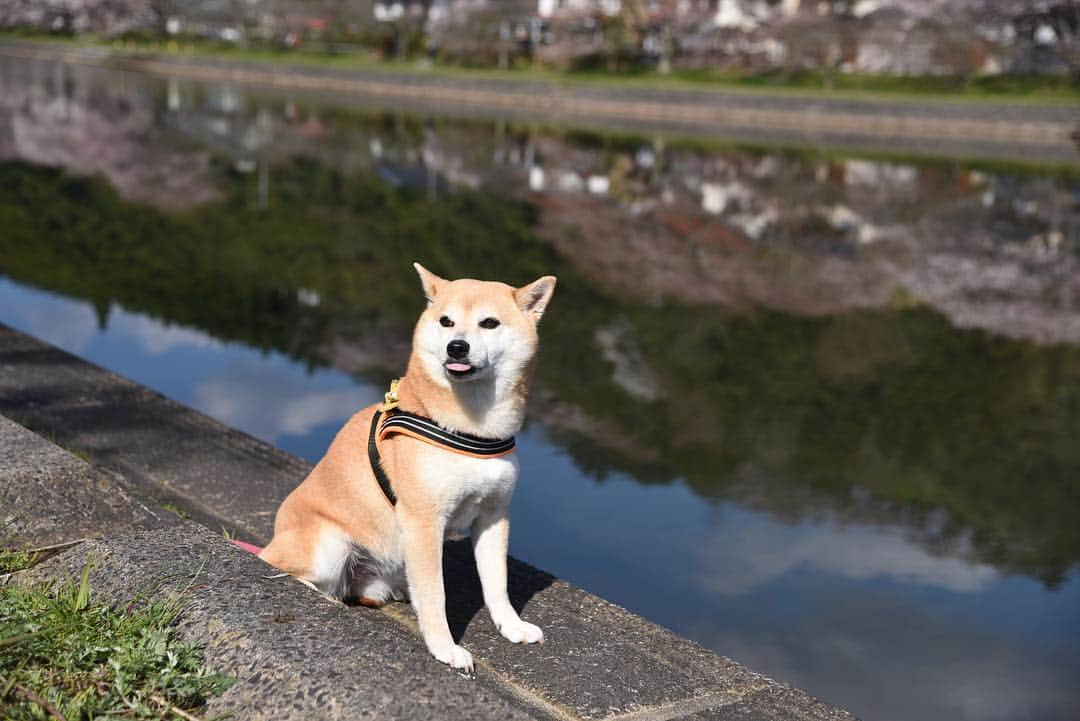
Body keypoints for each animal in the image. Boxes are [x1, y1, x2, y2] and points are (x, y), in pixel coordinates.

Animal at [260, 263, 557, 669]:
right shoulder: (424, 520)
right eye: (447, 321)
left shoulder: (494, 515)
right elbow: (435, 594)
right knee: (286, 569)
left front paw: (511, 626)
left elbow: (497, 583)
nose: (456, 346)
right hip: (328, 546)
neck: (473, 428)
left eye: (489, 323)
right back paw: (322, 594)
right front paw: (445, 648)